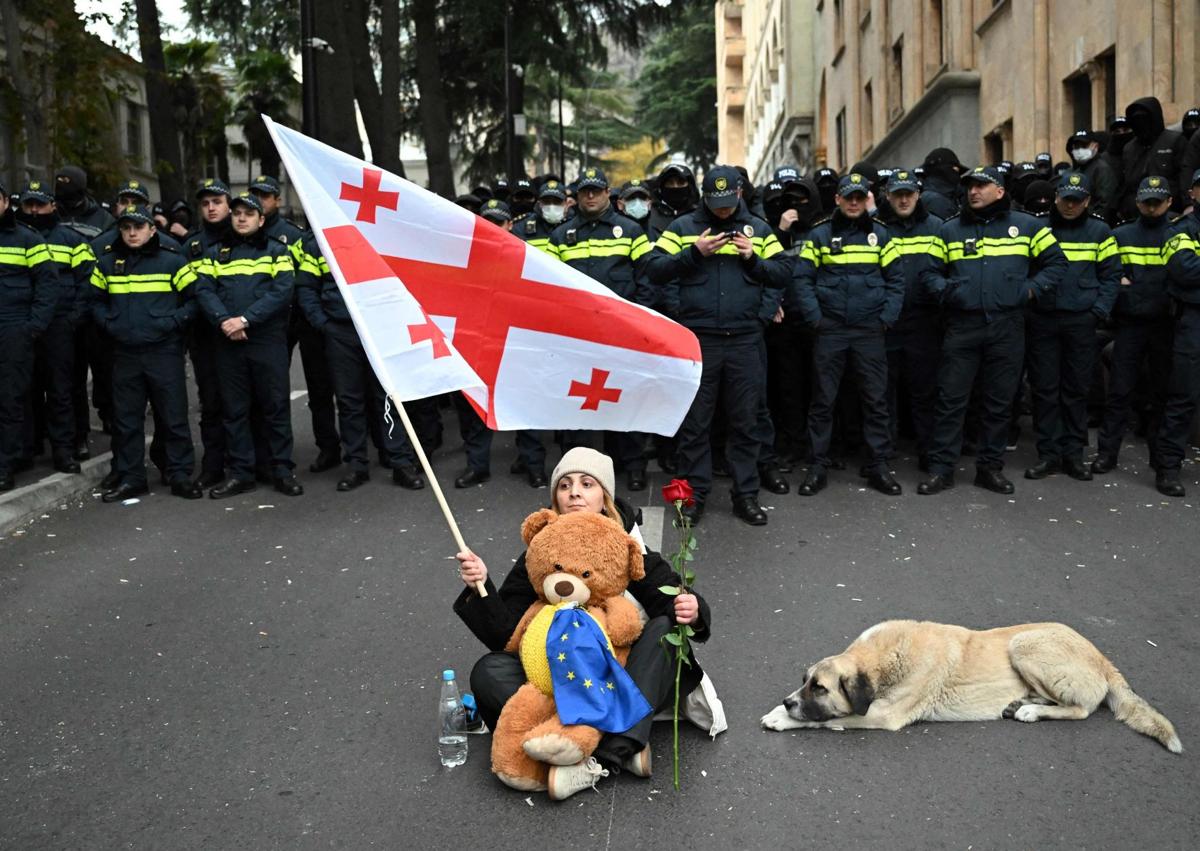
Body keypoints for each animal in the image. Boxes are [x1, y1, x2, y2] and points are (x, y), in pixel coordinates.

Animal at [758, 619, 1180, 748]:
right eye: (804, 681)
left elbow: (828, 720)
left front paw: (783, 718)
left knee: (1081, 710)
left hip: (1023, 643)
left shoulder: (882, 715)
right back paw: (1022, 703)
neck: (884, 657)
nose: (790, 700)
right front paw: (781, 708)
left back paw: (1030, 711)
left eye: (820, 688)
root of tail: (1104, 660)